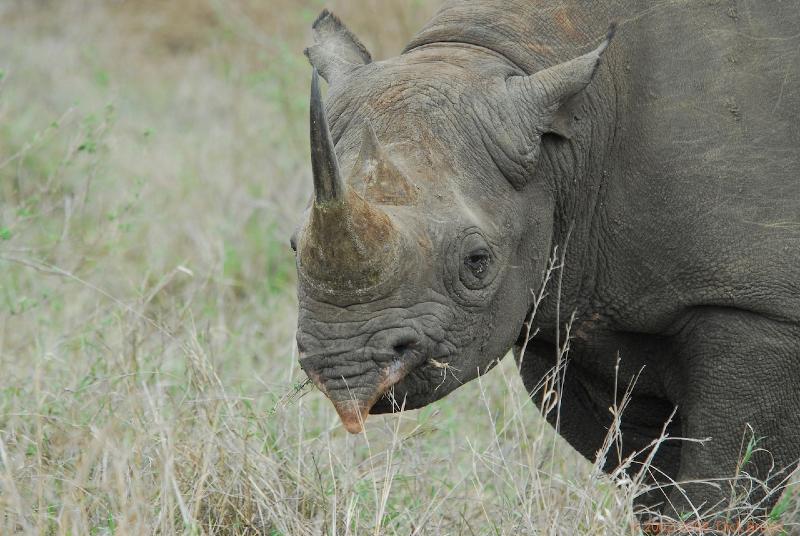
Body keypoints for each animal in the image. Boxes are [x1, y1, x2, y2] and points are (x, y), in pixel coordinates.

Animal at [292, 0, 800, 520]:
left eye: (477, 262)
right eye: (295, 245)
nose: (343, 368)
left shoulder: (761, 312)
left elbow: (721, 489)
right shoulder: (567, 307)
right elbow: (652, 478)